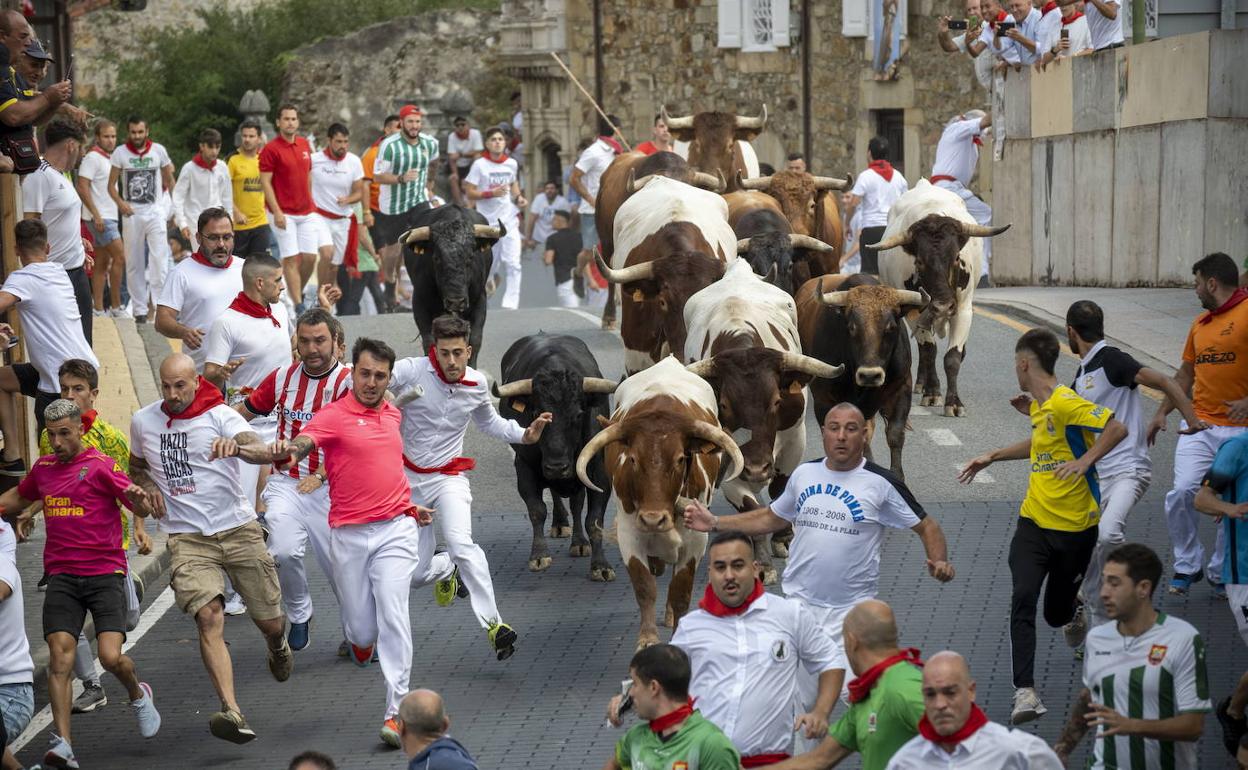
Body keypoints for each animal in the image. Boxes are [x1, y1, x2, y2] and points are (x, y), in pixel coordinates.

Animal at [494, 334, 616, 579]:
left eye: (578, 414)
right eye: (535, 413)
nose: (557, 467)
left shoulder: (597, 472)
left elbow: (594, 520)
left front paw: (601, 565)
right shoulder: (524, 468)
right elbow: (537, 510)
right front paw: (539, 555)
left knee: (577, 504)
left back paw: (579, 542)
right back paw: (560, 524)